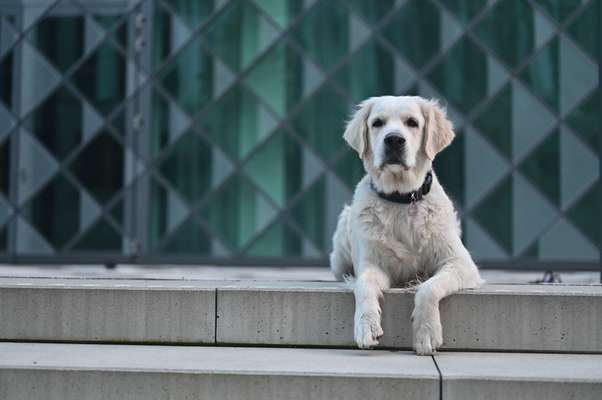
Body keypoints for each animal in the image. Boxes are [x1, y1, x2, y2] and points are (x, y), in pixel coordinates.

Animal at [330, 95, 480, 354]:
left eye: (412, 122)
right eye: (377, 123)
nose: (394, 140)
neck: (402, 198)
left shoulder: (460, 263)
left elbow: (428, 288)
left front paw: (426, 331)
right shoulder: (372, 263)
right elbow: (363, 284)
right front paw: (366, 325)